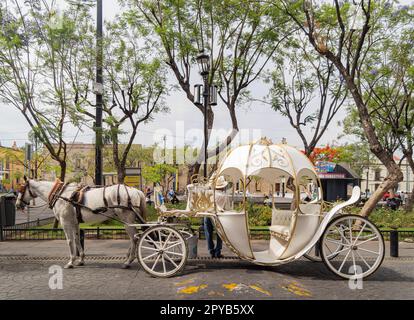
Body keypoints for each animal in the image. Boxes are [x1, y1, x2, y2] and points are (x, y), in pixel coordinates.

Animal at [14, 179, 147, 268]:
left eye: (21, 190)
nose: (17, 204)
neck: (60, 194)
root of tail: (135, 191)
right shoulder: (75, 223)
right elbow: (77, 240)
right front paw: (81, 259)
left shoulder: (65, 222)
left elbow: (70, 241)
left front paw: (71, 261)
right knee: (135, 237)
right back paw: (128, 257)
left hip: (127, 220)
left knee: (134, 238)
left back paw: (129, 260)